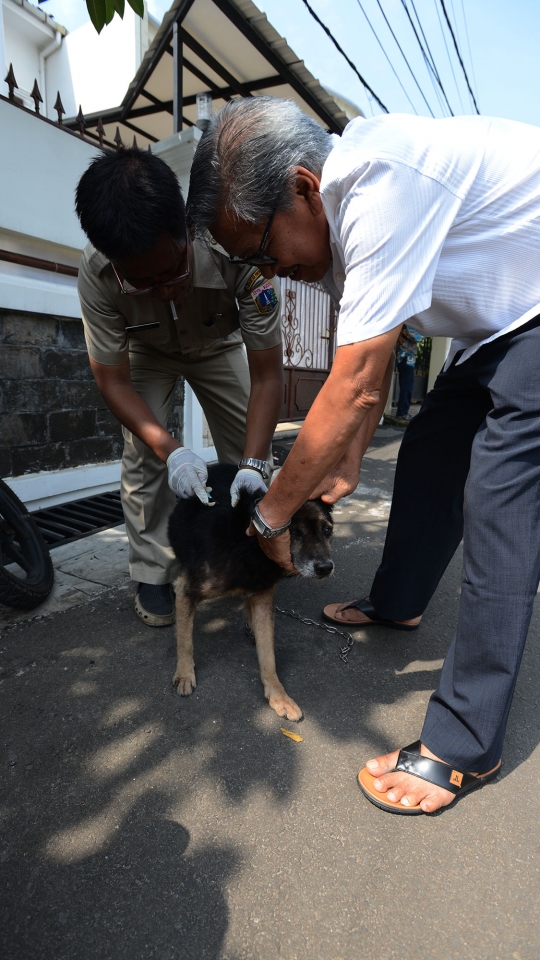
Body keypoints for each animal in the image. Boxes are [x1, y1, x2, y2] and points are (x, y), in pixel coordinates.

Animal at [169, 464, 334, 720]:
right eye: (294, 533)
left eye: (327, 530)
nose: (326, 568)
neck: (249, 545)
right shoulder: (186, 590)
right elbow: (184, 641)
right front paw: (185, 674)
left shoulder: (263, 596)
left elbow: (268, 656)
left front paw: (278, 696)